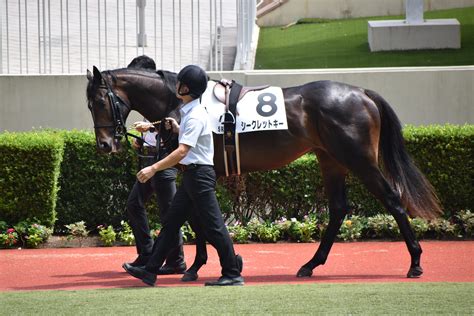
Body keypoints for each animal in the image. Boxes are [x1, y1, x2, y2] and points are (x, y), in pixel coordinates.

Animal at [84, 65, 440, 278]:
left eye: (100, 101)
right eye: (89, 104)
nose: (105, 145)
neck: (183, 104)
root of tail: (362, 92)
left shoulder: (196, 169)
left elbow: (197, 218)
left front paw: (198, 266)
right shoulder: (193, 170)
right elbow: (196, 217)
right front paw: (213, 262)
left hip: (359, 160)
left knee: (393, 200)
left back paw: (415, 262)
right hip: (331, 160)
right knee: (339, 209)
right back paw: (310, 264)